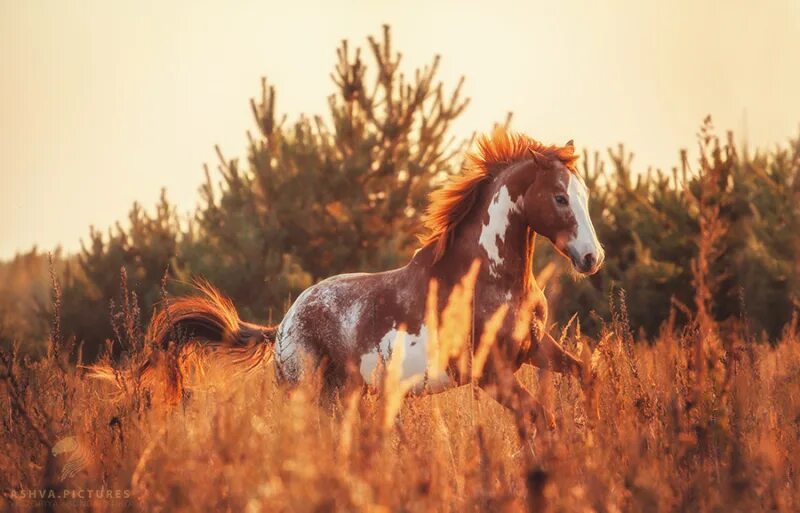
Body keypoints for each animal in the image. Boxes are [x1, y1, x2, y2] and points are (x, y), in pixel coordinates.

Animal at [95, 130, 600, 426]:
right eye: (559, 197)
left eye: (585, 194)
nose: (592, 258)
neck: (487, 280)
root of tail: (282, 325)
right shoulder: (491, 374)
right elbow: (541, 417)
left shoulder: (534, 349)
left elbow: (584, 373)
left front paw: (592, 431)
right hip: (309, 395)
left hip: (348, 394)